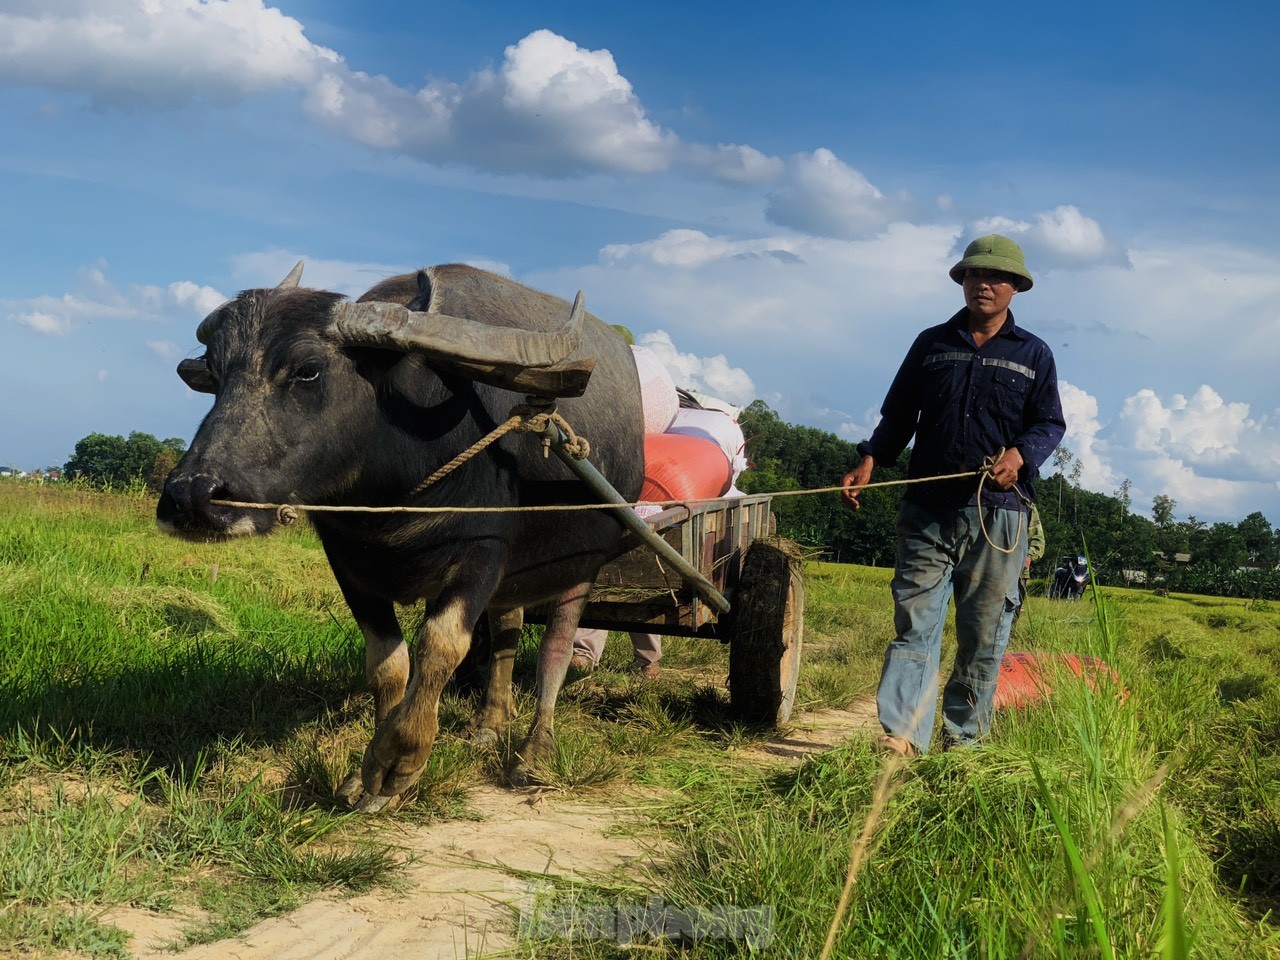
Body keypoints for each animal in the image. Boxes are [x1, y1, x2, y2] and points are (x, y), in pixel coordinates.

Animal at [154, 264, 645, 814]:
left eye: (307, 370)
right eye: (217, 377)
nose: (191, 496)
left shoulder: (483, 553)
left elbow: (441, 644)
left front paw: (399, 761)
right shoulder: (349, 564)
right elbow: (387, 661)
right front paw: (367, 775)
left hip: (584, 565)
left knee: (556, 648)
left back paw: (534, 749)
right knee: (508, 628)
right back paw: (491, 724)